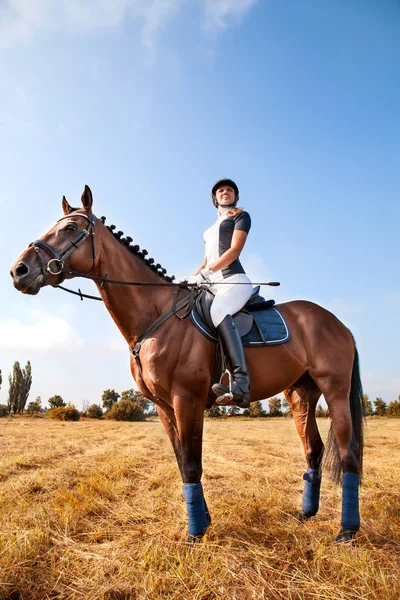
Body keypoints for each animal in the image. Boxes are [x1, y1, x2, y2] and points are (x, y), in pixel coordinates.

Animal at [10, 188, 366, 544]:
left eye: (70, 228)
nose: (19, 271)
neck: (157, 317)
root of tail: (339, 323)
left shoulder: (187, 399)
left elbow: (193, 464)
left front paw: (195, 534)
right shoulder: (164, 406)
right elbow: (183, 463)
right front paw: (203, 522)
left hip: (335, 390)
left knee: (348, 454)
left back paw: (347, 531)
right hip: (301, 394)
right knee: (314, 449)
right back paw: (306, 514)